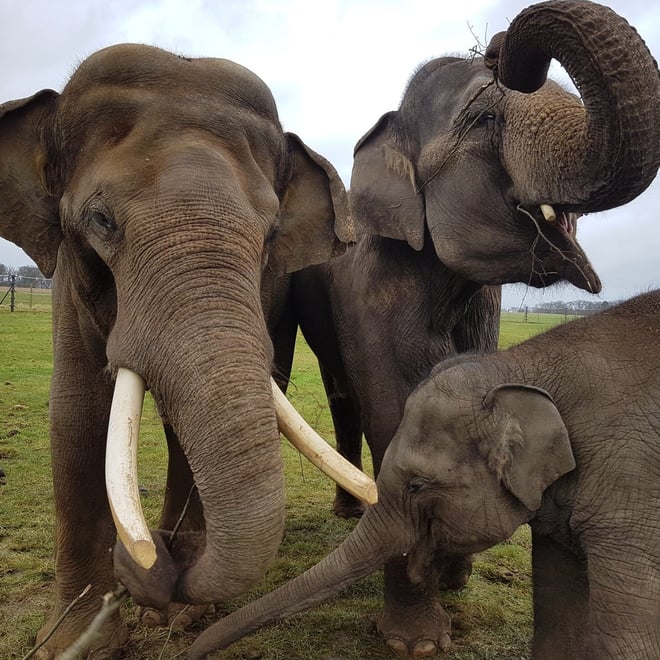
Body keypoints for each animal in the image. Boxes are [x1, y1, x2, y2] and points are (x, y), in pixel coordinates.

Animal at [0, 43, 363, 657]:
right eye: (100, 220)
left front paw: (181, 619)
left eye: (271, 235)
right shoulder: (68, 269)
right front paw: (76, 643)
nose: (162, 551)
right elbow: (77, 414)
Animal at [187, 288, 660, 660]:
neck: (520, 366)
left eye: (418, 485)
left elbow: (628, 633)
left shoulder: (631, 484)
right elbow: (557, 600)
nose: (187, 647)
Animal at [282, 0, 660, 654]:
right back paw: (348, 516)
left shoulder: (485, 304)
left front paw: (454, 577)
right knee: (341, 391)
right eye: (483, 118)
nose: (500, 43)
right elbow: (392, 414)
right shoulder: (371, 289)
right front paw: (416, 642)